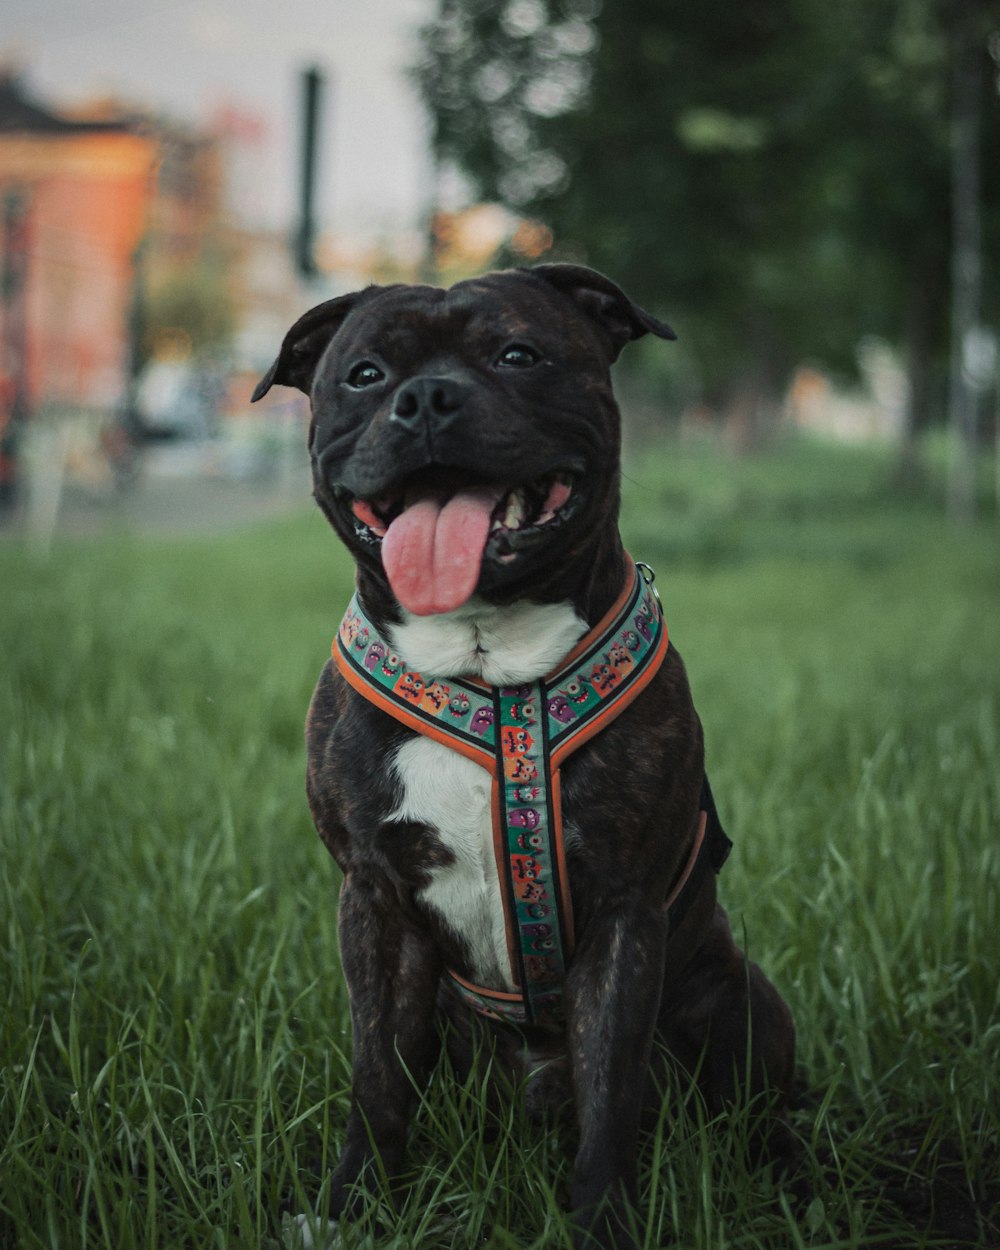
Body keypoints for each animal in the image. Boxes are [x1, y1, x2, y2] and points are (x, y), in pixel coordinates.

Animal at [252, 266, 795, 1250]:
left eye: (518, 354)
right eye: (364, 374)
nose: (426, 397)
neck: (488, 665)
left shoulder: (624, 915)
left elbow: (610, 1097)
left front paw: (604, 1222)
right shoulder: (373, 901)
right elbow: (377, 1078)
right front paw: (354, 1204)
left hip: (735, 1000)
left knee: (760, 1107)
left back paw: (792, 1181)